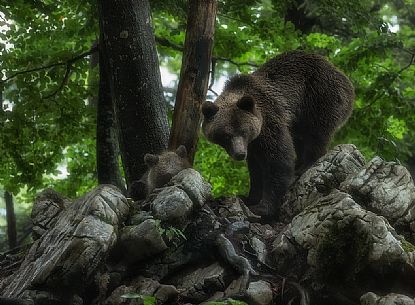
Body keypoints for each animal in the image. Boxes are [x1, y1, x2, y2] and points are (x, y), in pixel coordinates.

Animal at [202, 50, 354, 216]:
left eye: (244, 131)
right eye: (226, 135)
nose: (240, 153)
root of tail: (342, 75)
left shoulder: (270, 120)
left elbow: (278, 159)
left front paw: (263, 207)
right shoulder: (254, 144)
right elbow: (256, 170)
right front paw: (249, 198)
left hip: (319, 96)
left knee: (315, 133)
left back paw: (304, 166)